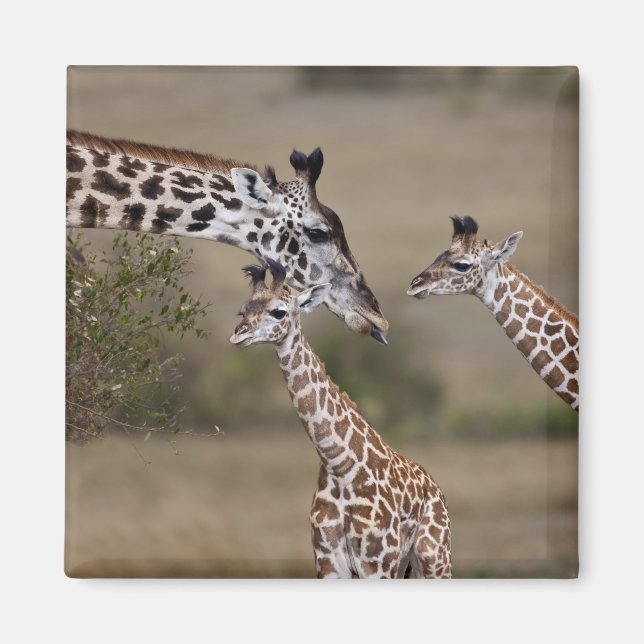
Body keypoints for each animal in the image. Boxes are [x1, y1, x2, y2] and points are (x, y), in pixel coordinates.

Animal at [229, 260, 451, 579]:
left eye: (279, 311)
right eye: (243, 310)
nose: (238, 334)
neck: (340, 464)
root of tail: (435, 487)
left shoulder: (377, 562)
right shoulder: (328, 561)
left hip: (434, 556)